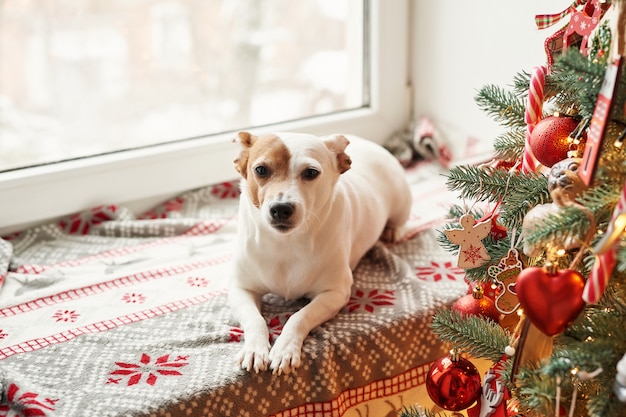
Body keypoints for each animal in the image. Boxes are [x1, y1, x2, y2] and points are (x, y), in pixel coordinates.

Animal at [227, 131, 412, 374]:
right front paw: (255, 349)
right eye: (261, 170)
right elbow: (254, 320)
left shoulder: (334, 293)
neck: (286, 243)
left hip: (401, 203)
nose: (281, 208)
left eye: (311, 172)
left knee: (399, 220)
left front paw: (285, 348)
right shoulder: (240, 289)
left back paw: (394, 230)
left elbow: (299, 317)